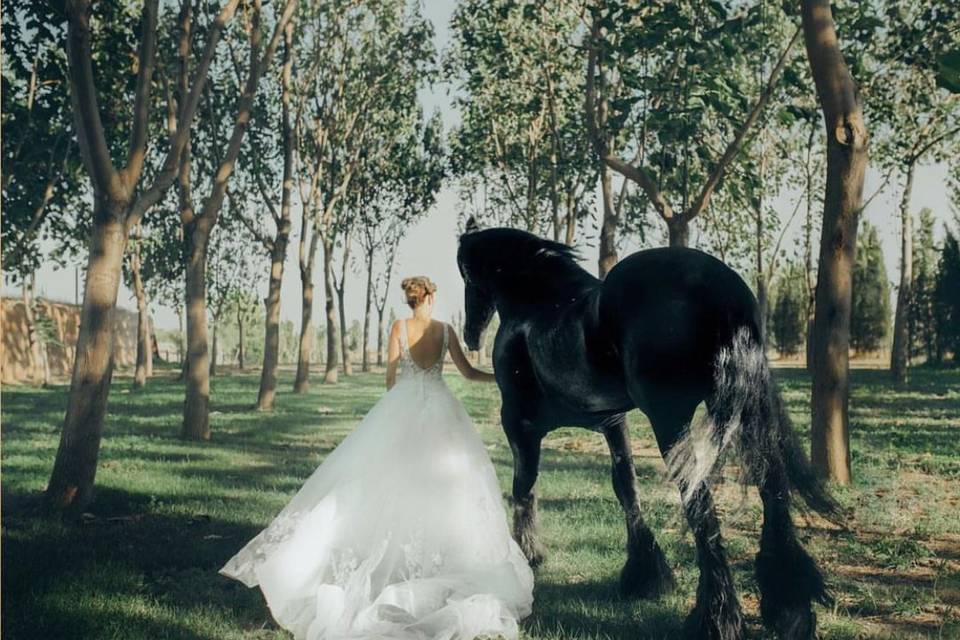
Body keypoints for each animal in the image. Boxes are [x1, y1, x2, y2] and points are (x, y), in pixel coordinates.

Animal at [454, 224, 836, 640]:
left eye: (467, 276)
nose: (470, 336)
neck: (538, 305)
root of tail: (720, 288)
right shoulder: (612, 422)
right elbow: (626, 488)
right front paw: (645, 572)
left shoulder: (518, 423)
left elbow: (525, 486)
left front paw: (527, 556)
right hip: (749, 407)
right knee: (773, 488)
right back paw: (789, 607)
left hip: (669, 419)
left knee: (699, 502)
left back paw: (716, 618)